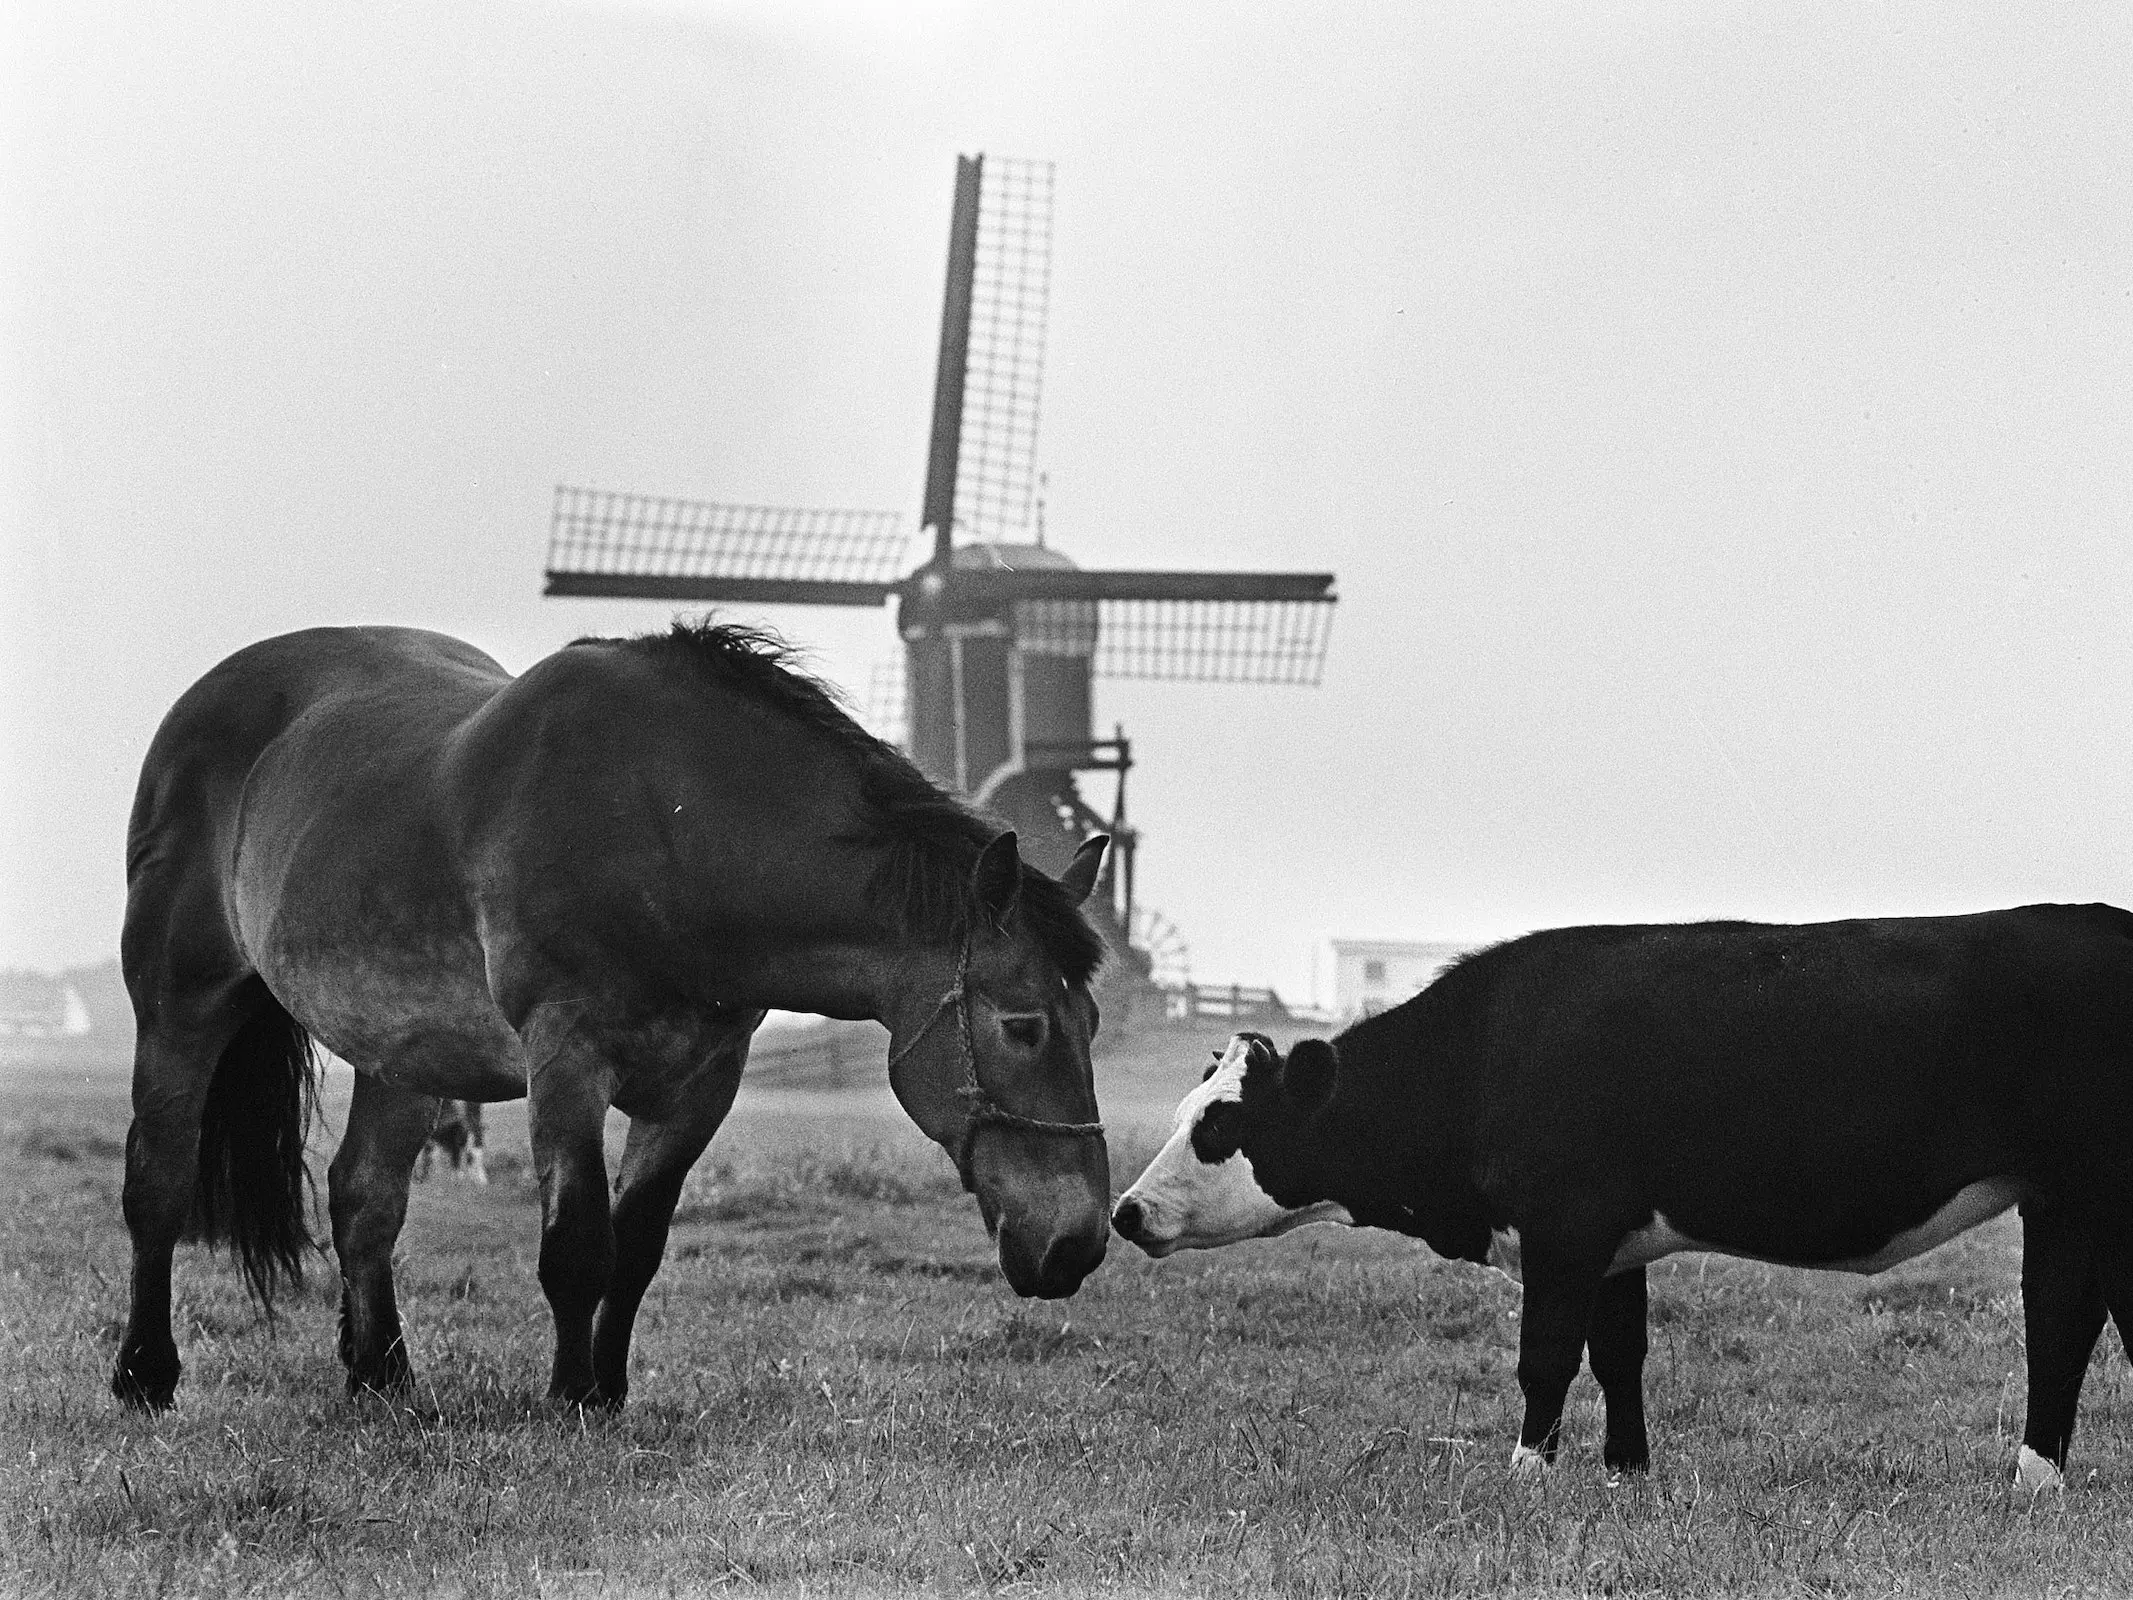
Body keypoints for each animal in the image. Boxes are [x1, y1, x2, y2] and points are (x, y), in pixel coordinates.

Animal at [112, 618, 1117, 1408]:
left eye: (1093, 1025)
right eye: (1022, 1026)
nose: (1075, 1245)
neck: (670, 829)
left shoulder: (700, 1086)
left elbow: (634, 1248)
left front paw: (607, 1389)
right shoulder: (567, 1060)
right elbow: (576, 1245)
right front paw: (568, 1396)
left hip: (402, 1057)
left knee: (365, 1200)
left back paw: (381, 1379)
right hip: (180, 1011)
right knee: (158, 1185)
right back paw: (145, 1375)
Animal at [1109, 908, 2133, 1501]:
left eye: (1220, 1127)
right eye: (1187, 1112)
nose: (1125, 1213)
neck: (1482, 1054)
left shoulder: (1564, 1228)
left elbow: (1546, 1359)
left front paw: (1527, 1477)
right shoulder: (1611, 1244)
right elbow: (1617, 1358)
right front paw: (1623, 1473)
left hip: (2096, 1192)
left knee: (2076, 1326)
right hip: (2067, 1203)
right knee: (2073, 1327)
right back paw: (2039, 1479)